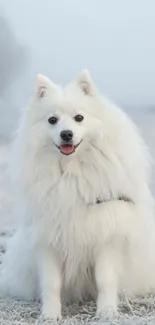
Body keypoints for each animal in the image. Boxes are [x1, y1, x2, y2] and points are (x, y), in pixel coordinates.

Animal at [0, 69, 155, 320]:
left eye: (79, 118)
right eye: (52, 120)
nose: (66, 134)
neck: (71, 173)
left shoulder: (106, 236)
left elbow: (105, 280)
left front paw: (106, 312)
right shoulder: (49, 240)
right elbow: (51, 283)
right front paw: (50, 315)